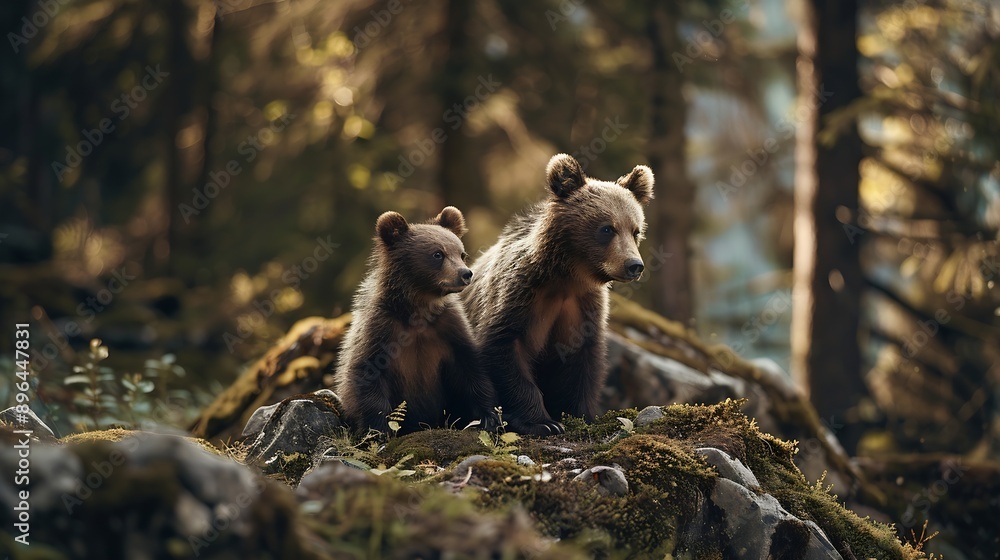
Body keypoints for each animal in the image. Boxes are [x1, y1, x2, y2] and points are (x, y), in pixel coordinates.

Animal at [334, 206, 498, 435]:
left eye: (461, 253)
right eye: (438, 254)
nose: (466, 274)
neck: (417, 308)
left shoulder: (449, 328)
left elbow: (470, 369)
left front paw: (488, 417)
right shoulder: (381, 328)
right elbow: (367, 372)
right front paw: (379, 429)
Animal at [462, 154, 654, 435]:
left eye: (636, 230)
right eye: (607, 229)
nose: (634, 266)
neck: (565, 278)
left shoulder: (582, 307)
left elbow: (582, 362)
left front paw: (582, 415)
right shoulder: (518, 296)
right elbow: (503, 349)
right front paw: (542, 421)